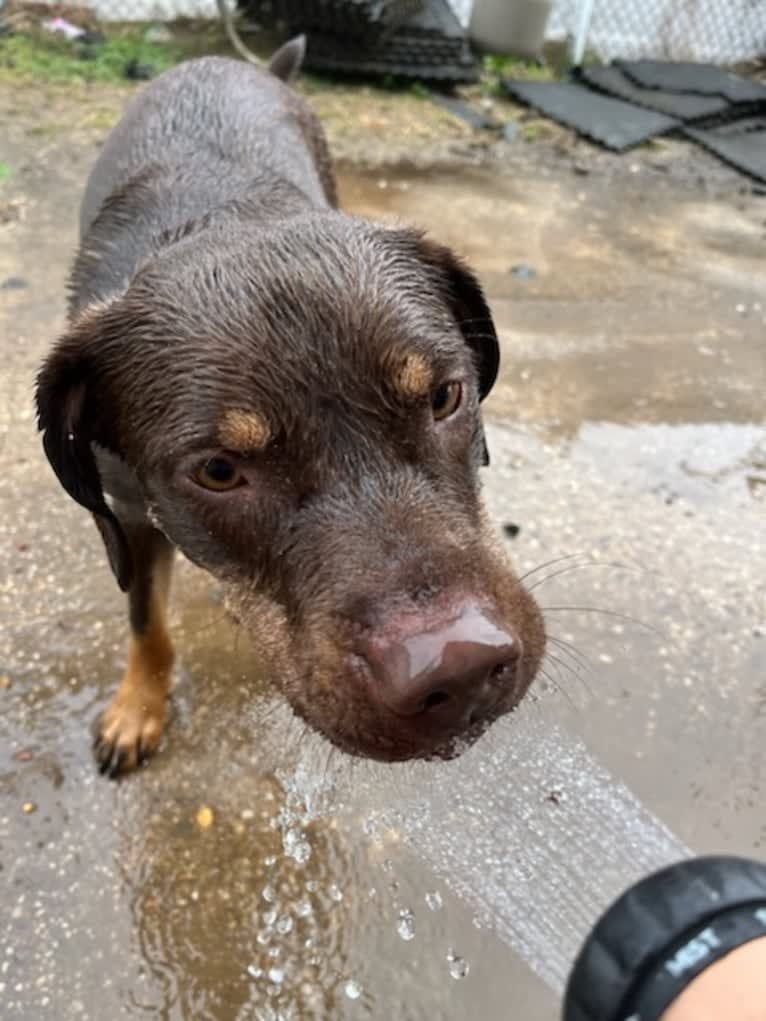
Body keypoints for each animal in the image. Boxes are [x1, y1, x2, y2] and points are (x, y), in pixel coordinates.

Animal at [34, 37, 547, 771]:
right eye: (218, 471)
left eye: (445, 395)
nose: (460, 671)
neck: (219, 219)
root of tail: (239, 62)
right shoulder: (128, 516)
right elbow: (147, 622)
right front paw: (138, 707)